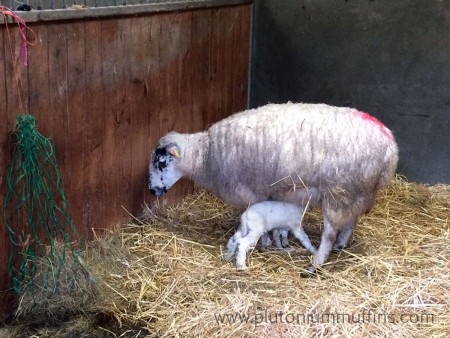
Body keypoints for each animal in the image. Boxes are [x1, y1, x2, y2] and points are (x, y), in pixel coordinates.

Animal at [149, 102, 400, 272]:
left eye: (161, 162)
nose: (152, 191)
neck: (207, 155)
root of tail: (390, 145)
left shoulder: (252, 191)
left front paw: (266, 243)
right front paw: (277, 240)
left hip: (340, 191)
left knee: (329, 232)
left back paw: (317, 261)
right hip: (358, 192)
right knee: (351, 220)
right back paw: (341, 244)